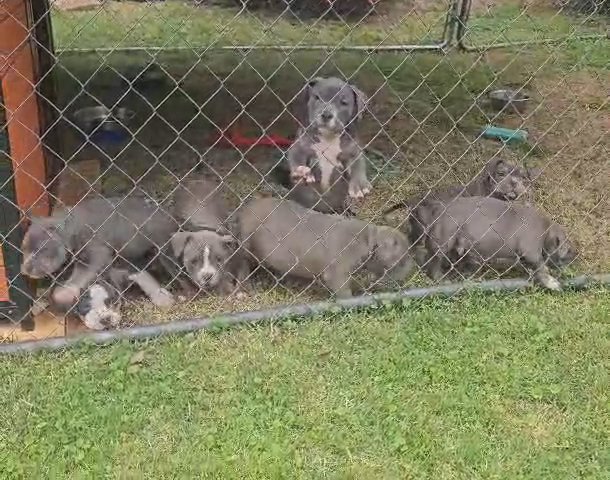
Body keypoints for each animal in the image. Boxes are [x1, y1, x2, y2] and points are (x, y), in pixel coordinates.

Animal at [20, 196, 178, 306]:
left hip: (164, 250)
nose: (24, 271)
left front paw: (65, 292)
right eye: (23, 249)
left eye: (40, 251)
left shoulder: (97, 255)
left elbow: (80, 276)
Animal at [234, 198, 414, 296]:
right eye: (402, 260)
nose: (408, 274)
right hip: (247, 241)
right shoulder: (338, 268)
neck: (367, 240)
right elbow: (341, 286)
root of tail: (244, 209)